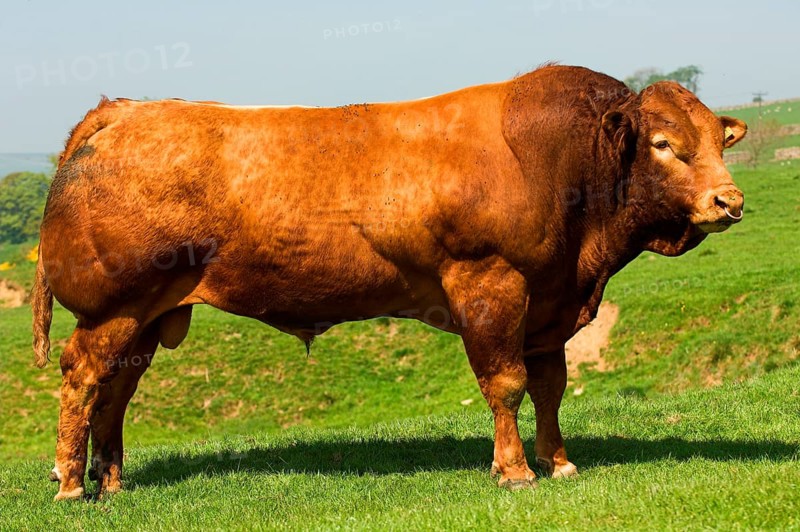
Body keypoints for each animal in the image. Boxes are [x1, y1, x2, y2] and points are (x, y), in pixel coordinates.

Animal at [32, 64, 747, 500]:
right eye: (663, 143)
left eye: (720, 140)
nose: (729, 201)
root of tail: (125, 111)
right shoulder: (489, 285)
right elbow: (507, 384)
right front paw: (515, 471)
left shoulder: (551, 302)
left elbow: (550, 387)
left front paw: (560, 461)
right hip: (112, 309)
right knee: (82, 378)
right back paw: (71, 483)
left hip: (147, 315)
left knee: (117, 391)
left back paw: (112, 481)